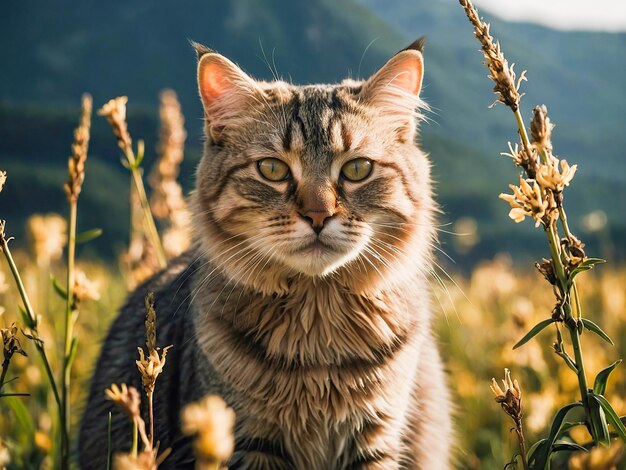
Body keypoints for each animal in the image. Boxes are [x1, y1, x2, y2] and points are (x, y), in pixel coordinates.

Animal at [79, 38, 448, 468]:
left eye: (357, 169)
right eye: (273, 170)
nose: (318, 214)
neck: (317, 330)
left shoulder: (378, 438)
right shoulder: (246, 440)